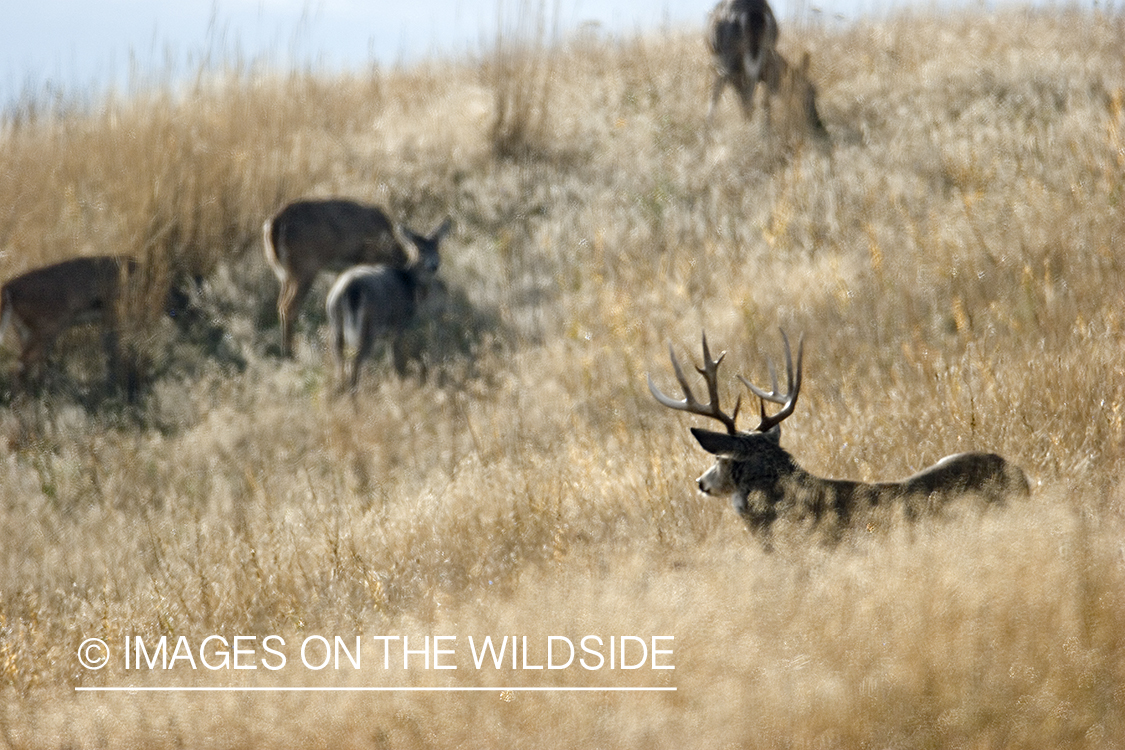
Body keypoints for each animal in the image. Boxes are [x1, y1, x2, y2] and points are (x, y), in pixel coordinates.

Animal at [262, 199, 414, 357]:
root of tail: (274, 224)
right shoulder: (368, 258)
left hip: (285, 274)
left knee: (280, 304)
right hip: (305, 269)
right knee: (288, 307)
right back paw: (288, 352)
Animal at [324, 217, 450, 393]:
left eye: (437, 247)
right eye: (420, 249)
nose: (434, 265)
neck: (409, 284)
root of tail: (351, 289)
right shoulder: (398, 326)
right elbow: (396, 362)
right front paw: (400, 385)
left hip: (334, 318)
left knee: (338, 355)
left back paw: (341, 389)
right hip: (369, 324)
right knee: (356, 360)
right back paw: (354, 394)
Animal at [702, 0, 828, 135]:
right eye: (813, 91)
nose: (819, 125)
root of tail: (754, 12)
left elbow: (721, 94)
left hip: (730, 57)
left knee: (745, 94)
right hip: (764, 50)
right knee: (757, 96)